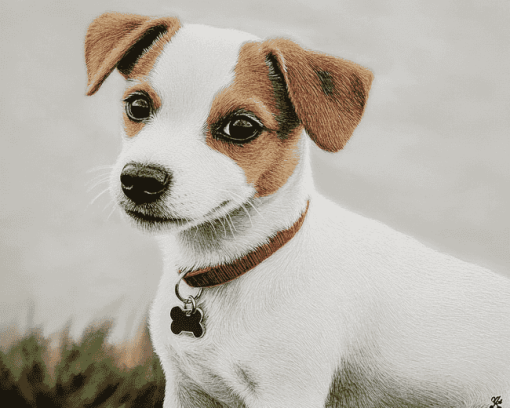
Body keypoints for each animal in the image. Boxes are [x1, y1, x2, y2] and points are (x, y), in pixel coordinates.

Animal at [85, 12, 508, 408]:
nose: (140, 179)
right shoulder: (188, 389)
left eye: (241, 127)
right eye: (137, 106)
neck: (240, 263)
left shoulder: (287, 390)